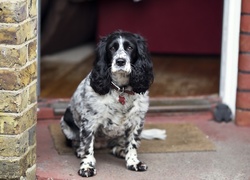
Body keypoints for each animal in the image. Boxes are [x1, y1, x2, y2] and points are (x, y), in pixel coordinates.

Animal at [60, 30, 166, 177]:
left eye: (130, 47)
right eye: (112, 48)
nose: (120, 61)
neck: (121, 89)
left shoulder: (137, 121)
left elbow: (132, 144)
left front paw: (133, 162)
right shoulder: (89, 121)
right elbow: (87, 147)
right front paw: (86, 166)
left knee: (117, 146)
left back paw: (121, 151)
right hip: (66, 118)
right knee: (78, 143)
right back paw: (80, 150)